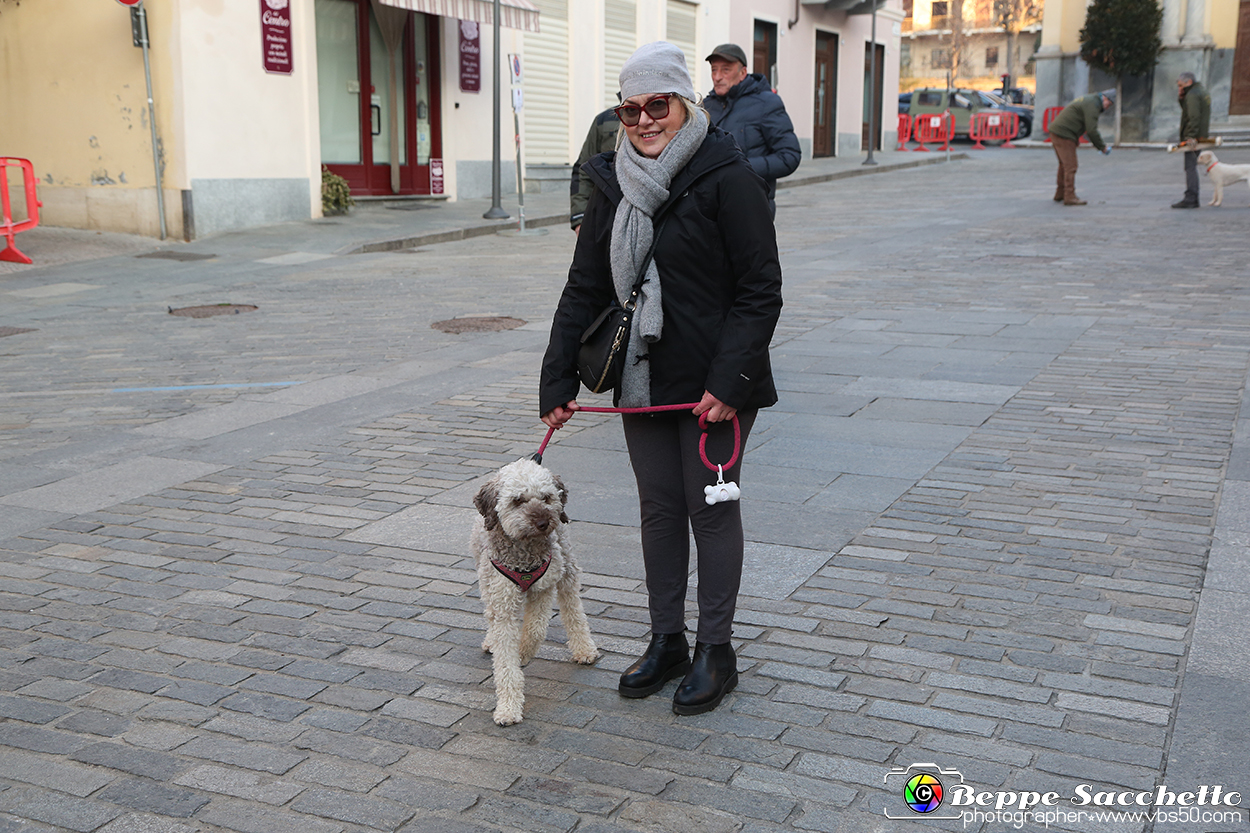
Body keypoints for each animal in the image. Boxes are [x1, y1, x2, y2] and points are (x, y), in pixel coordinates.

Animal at [472, 457, 600, 725]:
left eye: (546, 497)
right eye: (518, 500)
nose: (544, 522)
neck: (524, 552)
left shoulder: (544, 587)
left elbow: (535, 630)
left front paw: (522, 653)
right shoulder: (501, 599)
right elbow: (505, 659)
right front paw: (508, 708)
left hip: (567, 565)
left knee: (573, 606)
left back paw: (584, 648)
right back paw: (490, 640)